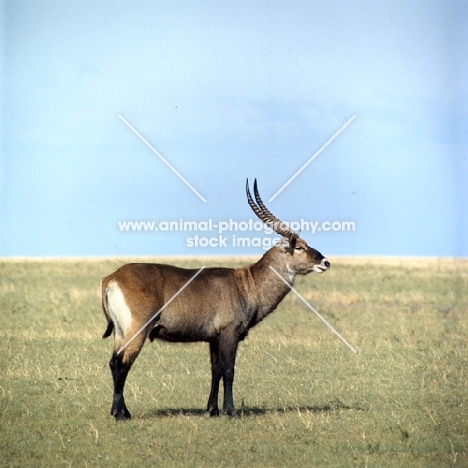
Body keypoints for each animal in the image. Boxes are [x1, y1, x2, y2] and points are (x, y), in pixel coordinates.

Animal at [100, 178, 330, 416]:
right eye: (300, 247)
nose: (325, 262)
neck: (247, 283)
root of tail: (112, 278)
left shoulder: (213, 339)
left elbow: (215, 370)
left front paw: (213, 409)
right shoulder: (230, 334)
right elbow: (228, 370)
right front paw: (230, 411)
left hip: (120, 332)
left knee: (113, 362)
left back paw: (122, 411)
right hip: (137, 331)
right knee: (122, 363)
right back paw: (120, 414)